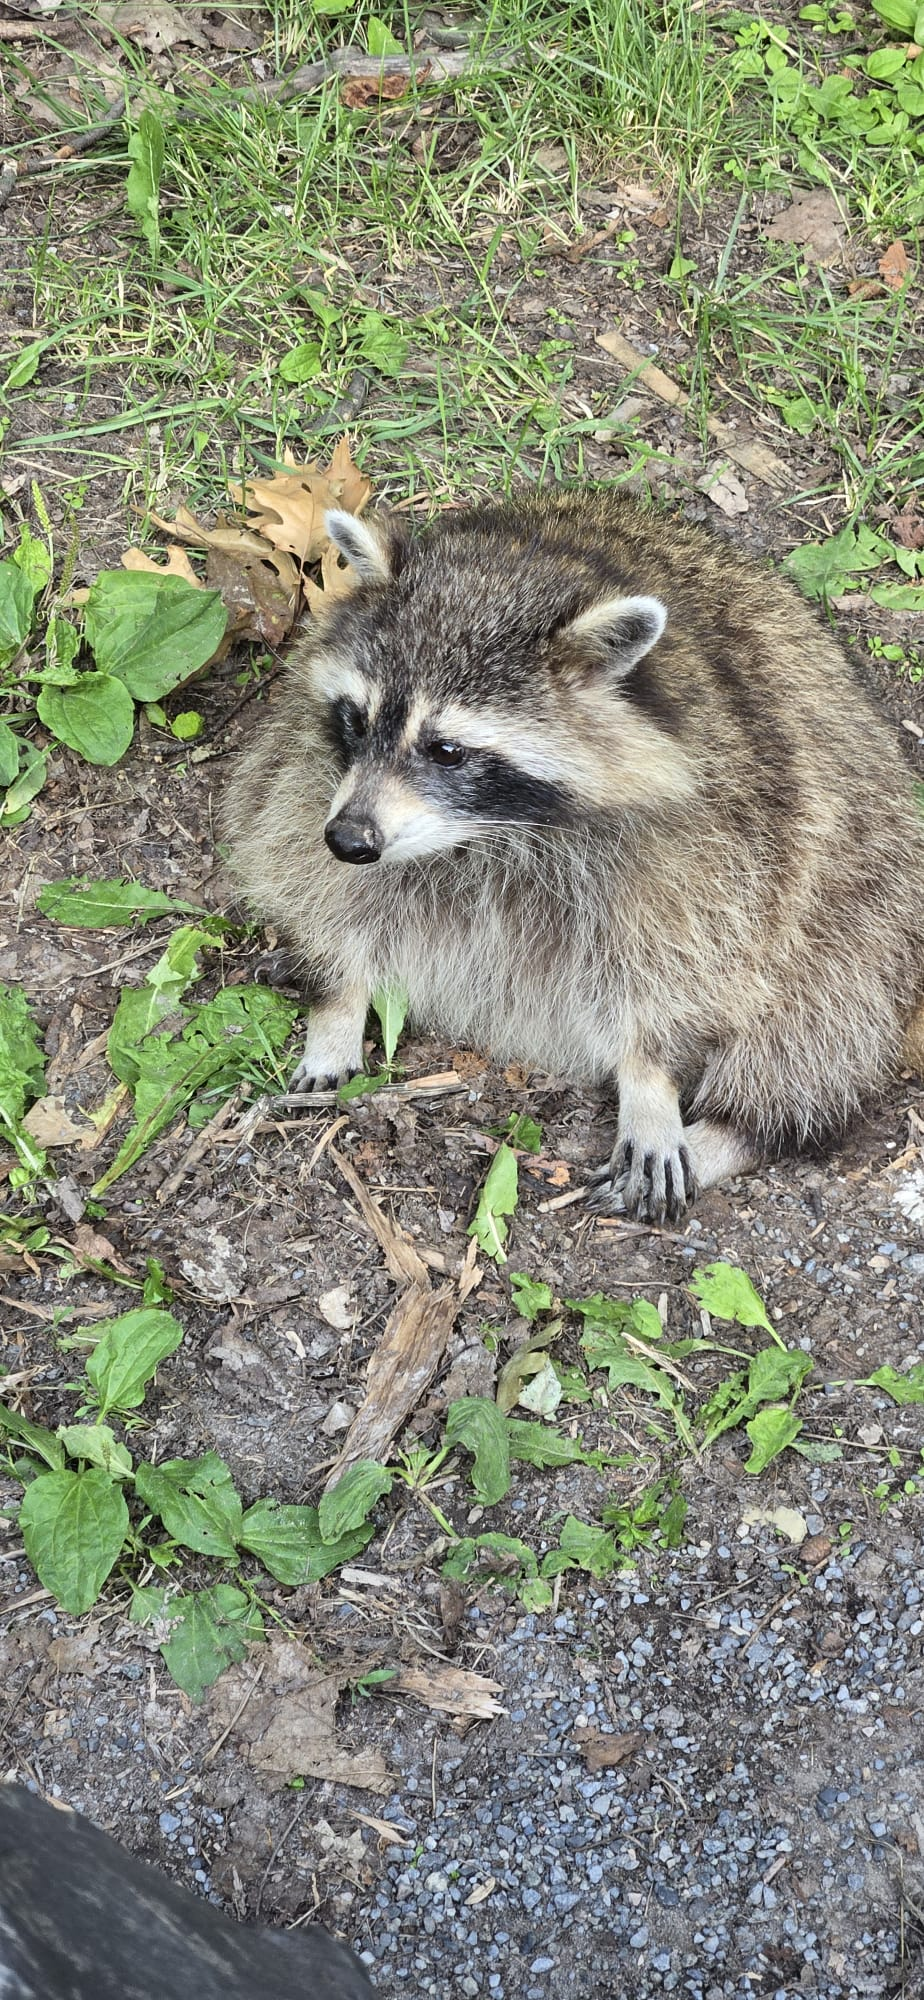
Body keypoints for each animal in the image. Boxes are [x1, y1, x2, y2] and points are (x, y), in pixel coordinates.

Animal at [223, 490, 924, 1223]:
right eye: (356, 720)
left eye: (447, 750)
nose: (351, 842)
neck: (487, 836)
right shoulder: (310, 773)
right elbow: (314, 876)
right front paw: (338, 997)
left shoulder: (731, 837)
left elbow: (691, 964)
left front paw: (649, 1076)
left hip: (865, 900)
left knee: (814, 1014)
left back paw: (739, 1127)